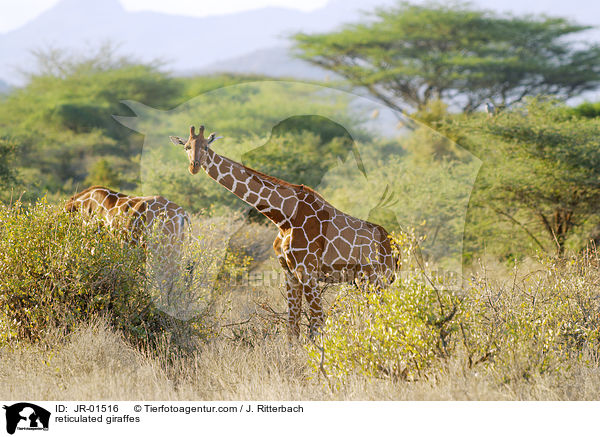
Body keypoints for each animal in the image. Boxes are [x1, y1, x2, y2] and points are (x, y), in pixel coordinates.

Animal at [170, 126, 394, 338]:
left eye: (206, 147)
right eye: (186, 147)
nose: (194, 166)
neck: (284, 217)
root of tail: (393, 248)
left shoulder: (307, 271)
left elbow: (317, 323)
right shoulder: (289, 272)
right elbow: (292, 327)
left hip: (376, 279)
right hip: (362, 282)